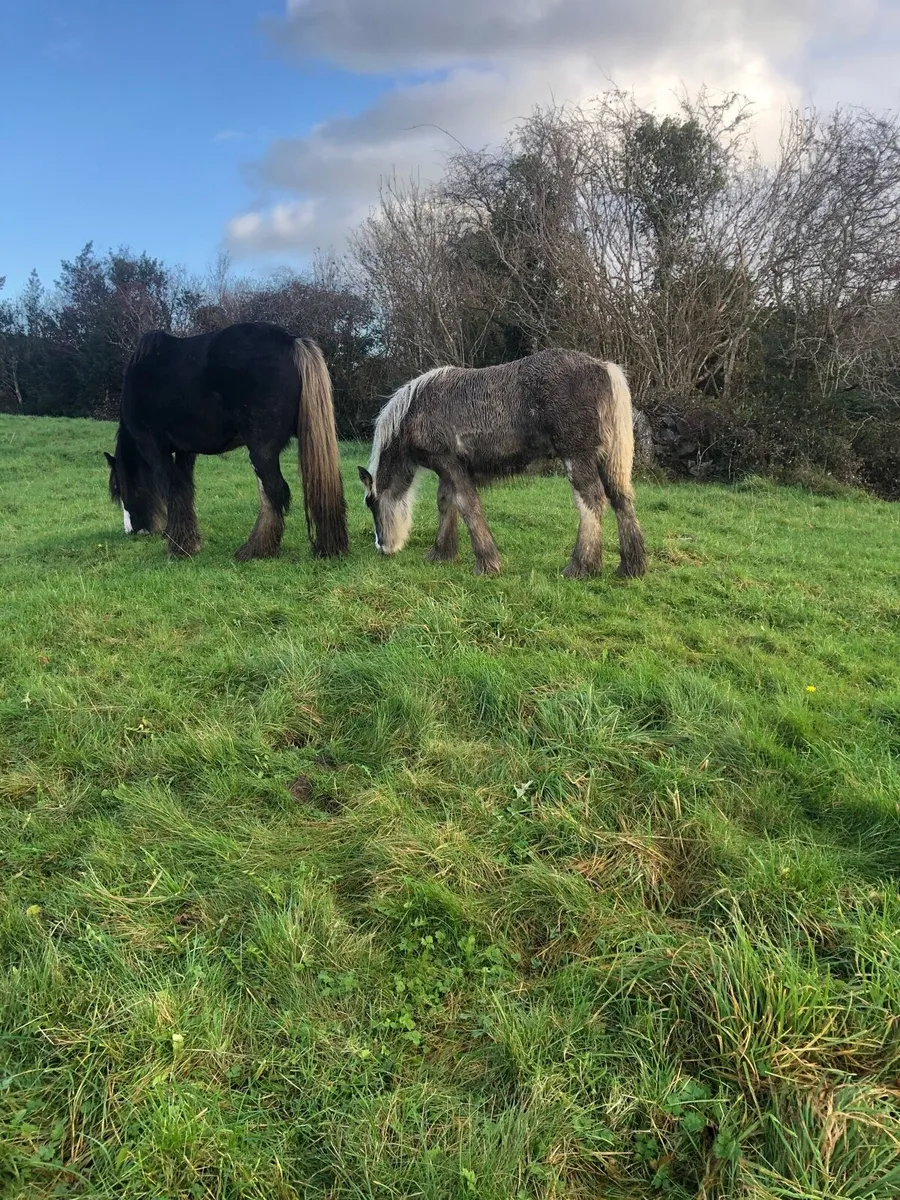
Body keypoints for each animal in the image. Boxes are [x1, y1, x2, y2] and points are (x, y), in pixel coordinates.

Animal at [105, 321, 348, 560]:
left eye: (119, 487)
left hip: (261, 450)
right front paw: (190, 542)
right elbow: (185, 491)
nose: (132, 530)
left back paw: (256, 549)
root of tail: (292, 342)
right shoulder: (185, 451)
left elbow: (173, 490)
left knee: (274, 491)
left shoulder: (155, 448)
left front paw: (179, 547)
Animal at [357, 348, 647, 579]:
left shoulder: (448, 463)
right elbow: (446, 503)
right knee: (621, 499)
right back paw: (631, 567)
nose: (383, 546)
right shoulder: (449, 470)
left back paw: (582, 567)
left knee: (591, 500)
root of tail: (605, 369)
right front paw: (441, 553)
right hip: (608, 461)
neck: (414, 411)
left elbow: (466, 505)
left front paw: (486, 563)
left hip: (577, 457)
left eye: (370, 503)